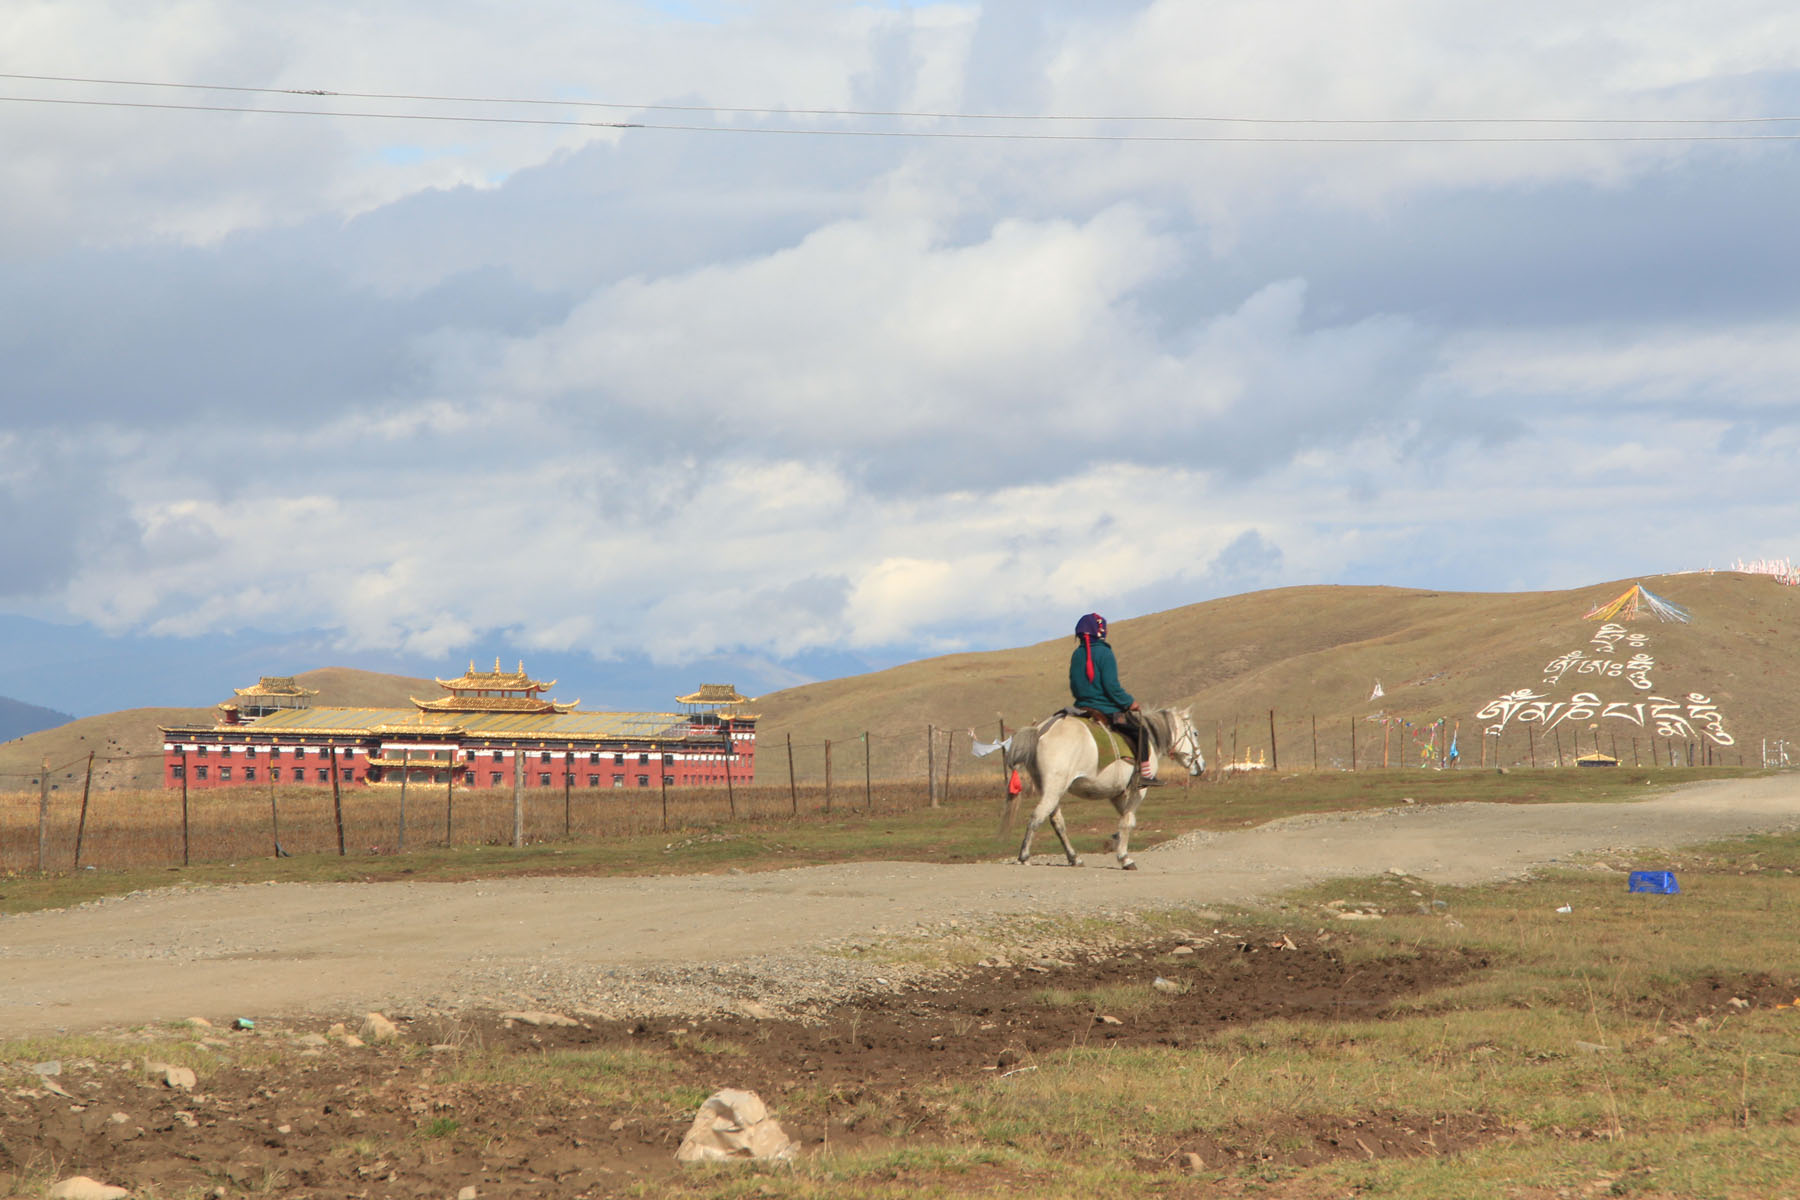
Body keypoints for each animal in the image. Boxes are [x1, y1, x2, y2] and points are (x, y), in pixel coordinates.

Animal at [1008, 708, 1202, 867]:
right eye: (1195, 733)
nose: (1201, 765)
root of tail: (1040, 730)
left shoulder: (1116, 793)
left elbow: (1125, 820)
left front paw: (1116, 842)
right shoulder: (1138, 791)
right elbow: (1128, 821)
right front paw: (1124, 858)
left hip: (1048, 789)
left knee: (1057, 822)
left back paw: (1074, 858)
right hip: (1054, 788)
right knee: (1037, 816)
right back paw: (1024, 856)